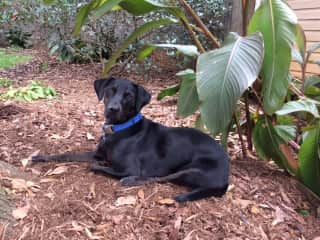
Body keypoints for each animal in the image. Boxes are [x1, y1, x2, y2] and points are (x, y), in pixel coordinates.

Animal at [32, 77, 229, 202]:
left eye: (129, 96)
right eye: (110, 91)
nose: (113, 109)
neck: (120, 129)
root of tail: (226, 177)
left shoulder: (129, 168)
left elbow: (95, 167)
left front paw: (103, 166)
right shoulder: (96, 153)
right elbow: (66, 154)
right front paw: (41, 157)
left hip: (191, 169)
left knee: (159, 178)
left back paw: (132, 181)